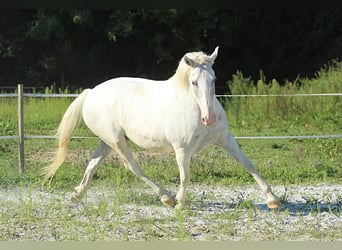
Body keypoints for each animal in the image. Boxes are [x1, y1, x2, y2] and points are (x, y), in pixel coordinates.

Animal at [42, 46, 280, 209]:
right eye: (194, 82)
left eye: (213, 79)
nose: (209, 118)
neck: (193, 106)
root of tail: (91, 92)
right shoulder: (182, 150)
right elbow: (185, 176)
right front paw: (181, 204)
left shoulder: (225, 140)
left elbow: (248, 164)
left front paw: (272, 200)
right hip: (117, 142)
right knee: (132, 167)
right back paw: (167, 197)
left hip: (107, 141)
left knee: (92, 164)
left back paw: (77, 195)